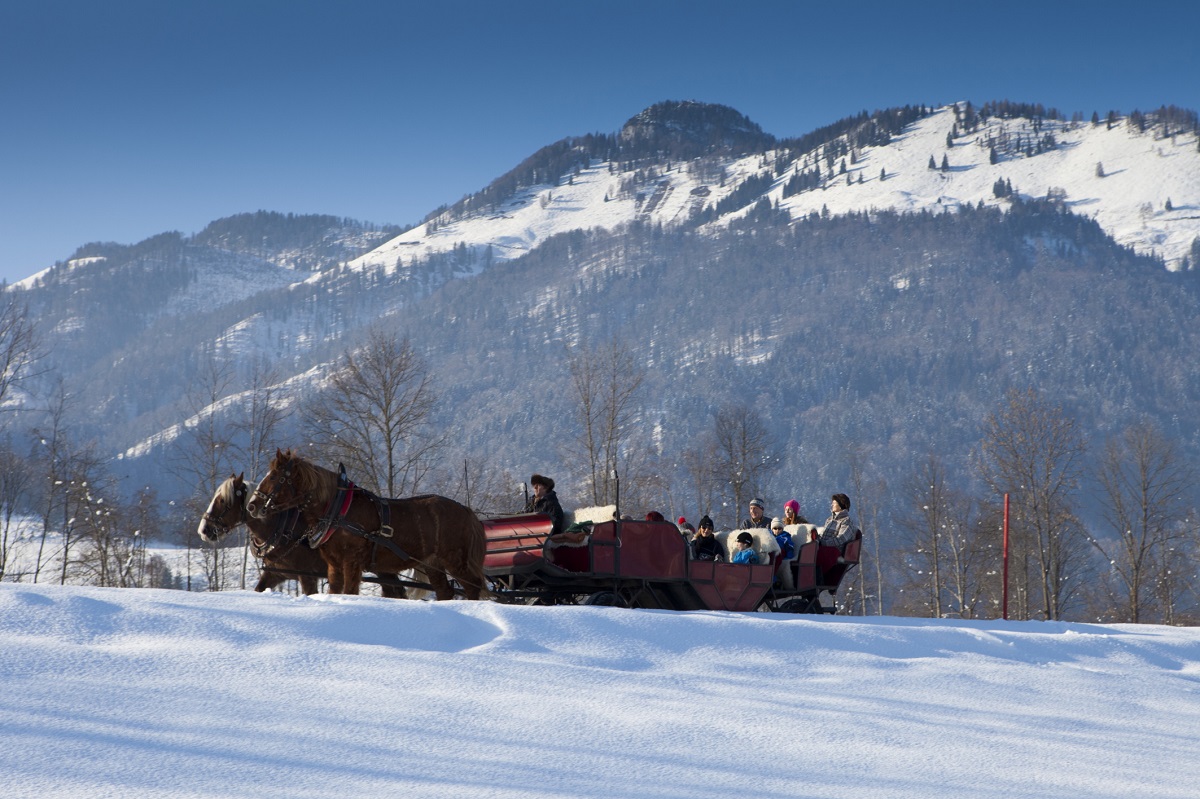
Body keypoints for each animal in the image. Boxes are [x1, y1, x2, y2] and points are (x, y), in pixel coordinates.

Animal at [198, 472, 412, 597]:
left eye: (223, 501)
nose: (204, 530)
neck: (282, 529)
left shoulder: (307, 575)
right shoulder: (274, 573)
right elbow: (259, 589)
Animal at [246, 448, 489, 597]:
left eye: (275, 477)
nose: (252, 505)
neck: (338, 511)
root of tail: (466, 510)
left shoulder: (352, 562)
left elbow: (349, 591)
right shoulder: (334, 565)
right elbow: (335, 591)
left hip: (456, 561)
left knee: (473, 588)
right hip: (432, 564)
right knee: (445, 591)